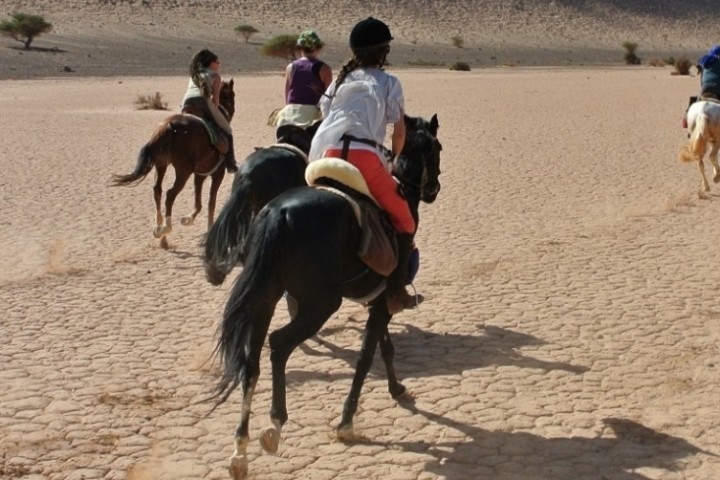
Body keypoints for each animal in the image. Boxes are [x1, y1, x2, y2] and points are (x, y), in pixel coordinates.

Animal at [112, 79, 235, 249]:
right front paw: (209, 231)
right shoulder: (217, 174)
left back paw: (160, 231)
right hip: (183, 170)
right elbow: (211, 203)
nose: (232, 110)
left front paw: (188, 219)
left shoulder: (200, 174)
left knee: (157, 190)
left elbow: (198, 202)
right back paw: (166, 228)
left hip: (161, 164)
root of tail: (166, 128)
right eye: (231, 96)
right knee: (170, 194)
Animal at [207, 114, 438, 478]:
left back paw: (240, 449)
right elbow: (366, 356)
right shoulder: (384, 298)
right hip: (321, 303)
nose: (433, 190)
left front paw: (397, 388)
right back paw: (275, 422)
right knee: (279, 344)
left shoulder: (377, 299)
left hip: (265, 296)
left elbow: (384, 347)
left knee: (250, 357)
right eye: (437, 148)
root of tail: (278, 213)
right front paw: (346, 421)